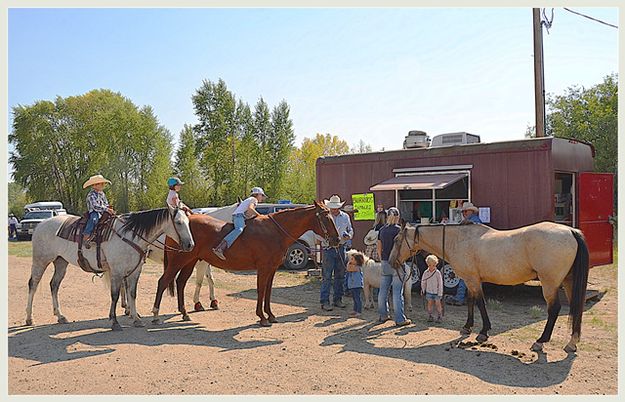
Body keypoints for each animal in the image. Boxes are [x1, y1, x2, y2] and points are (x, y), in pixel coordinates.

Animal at [25, 206, 194, 332]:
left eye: (188, 221)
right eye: (179, 222)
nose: (190, 245)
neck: (131, 236)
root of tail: (40, 224)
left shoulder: (135, 272)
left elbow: (132, 294)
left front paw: (136, 319)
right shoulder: (117, 272)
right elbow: (115, 295)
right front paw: (115, 322)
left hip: (61, 262)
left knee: (54, 285)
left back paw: (60, 316)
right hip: (41, 261)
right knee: (33, 284)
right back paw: (29, 318)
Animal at [152, 201, 338, 326]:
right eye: (326, 217)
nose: (337, 239)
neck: (275, 232)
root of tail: (176, 228)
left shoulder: (271, 269)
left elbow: (268, 292)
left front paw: (270, 315)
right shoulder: (263, 269)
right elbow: (261, 291)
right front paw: (262, 317)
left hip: (190, 262)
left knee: (180, 282)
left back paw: (184, 313)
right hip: (178, 262)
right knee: (163, 282)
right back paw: (155, 315)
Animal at [390, 221, 588, 354]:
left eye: (397, 239)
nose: (392, 261)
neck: (460, 239)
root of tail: (571, 231)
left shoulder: (473, 280)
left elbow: (479, 303)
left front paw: (483, 332)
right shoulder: (470, 280)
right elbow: (471, 302)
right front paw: (467, 327)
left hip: (549, 284)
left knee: (554, 309)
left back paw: (540, 341)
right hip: (569, 282)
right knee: (577, 307)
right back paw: (572, 343)